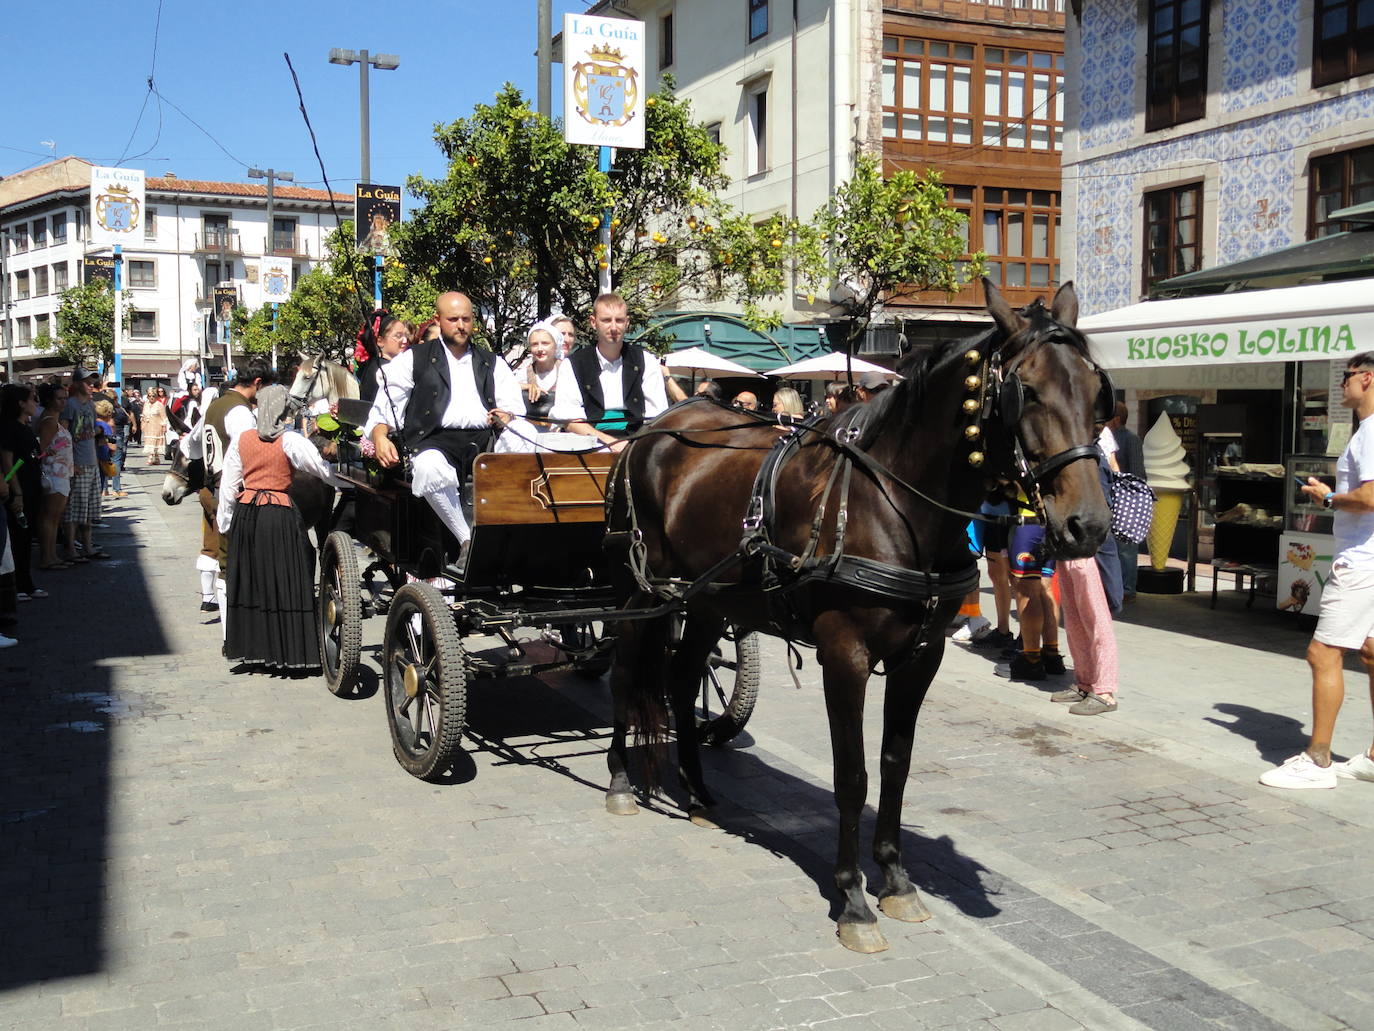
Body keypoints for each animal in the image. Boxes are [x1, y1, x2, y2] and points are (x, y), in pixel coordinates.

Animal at [607, 280, 1110, 951]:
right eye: (1024, 391)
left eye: (1097, 392)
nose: (1088, 526)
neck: (893, 503)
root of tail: (655, 428)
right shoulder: (843, 656)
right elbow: (852, 776)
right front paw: (852, 900)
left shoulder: (921, 657)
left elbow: (895, 767)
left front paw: (894, 880)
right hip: (639, 593)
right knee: (627, 671)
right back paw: (618, 781)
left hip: (708, 601)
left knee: (684, 677)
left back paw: (697, 792)